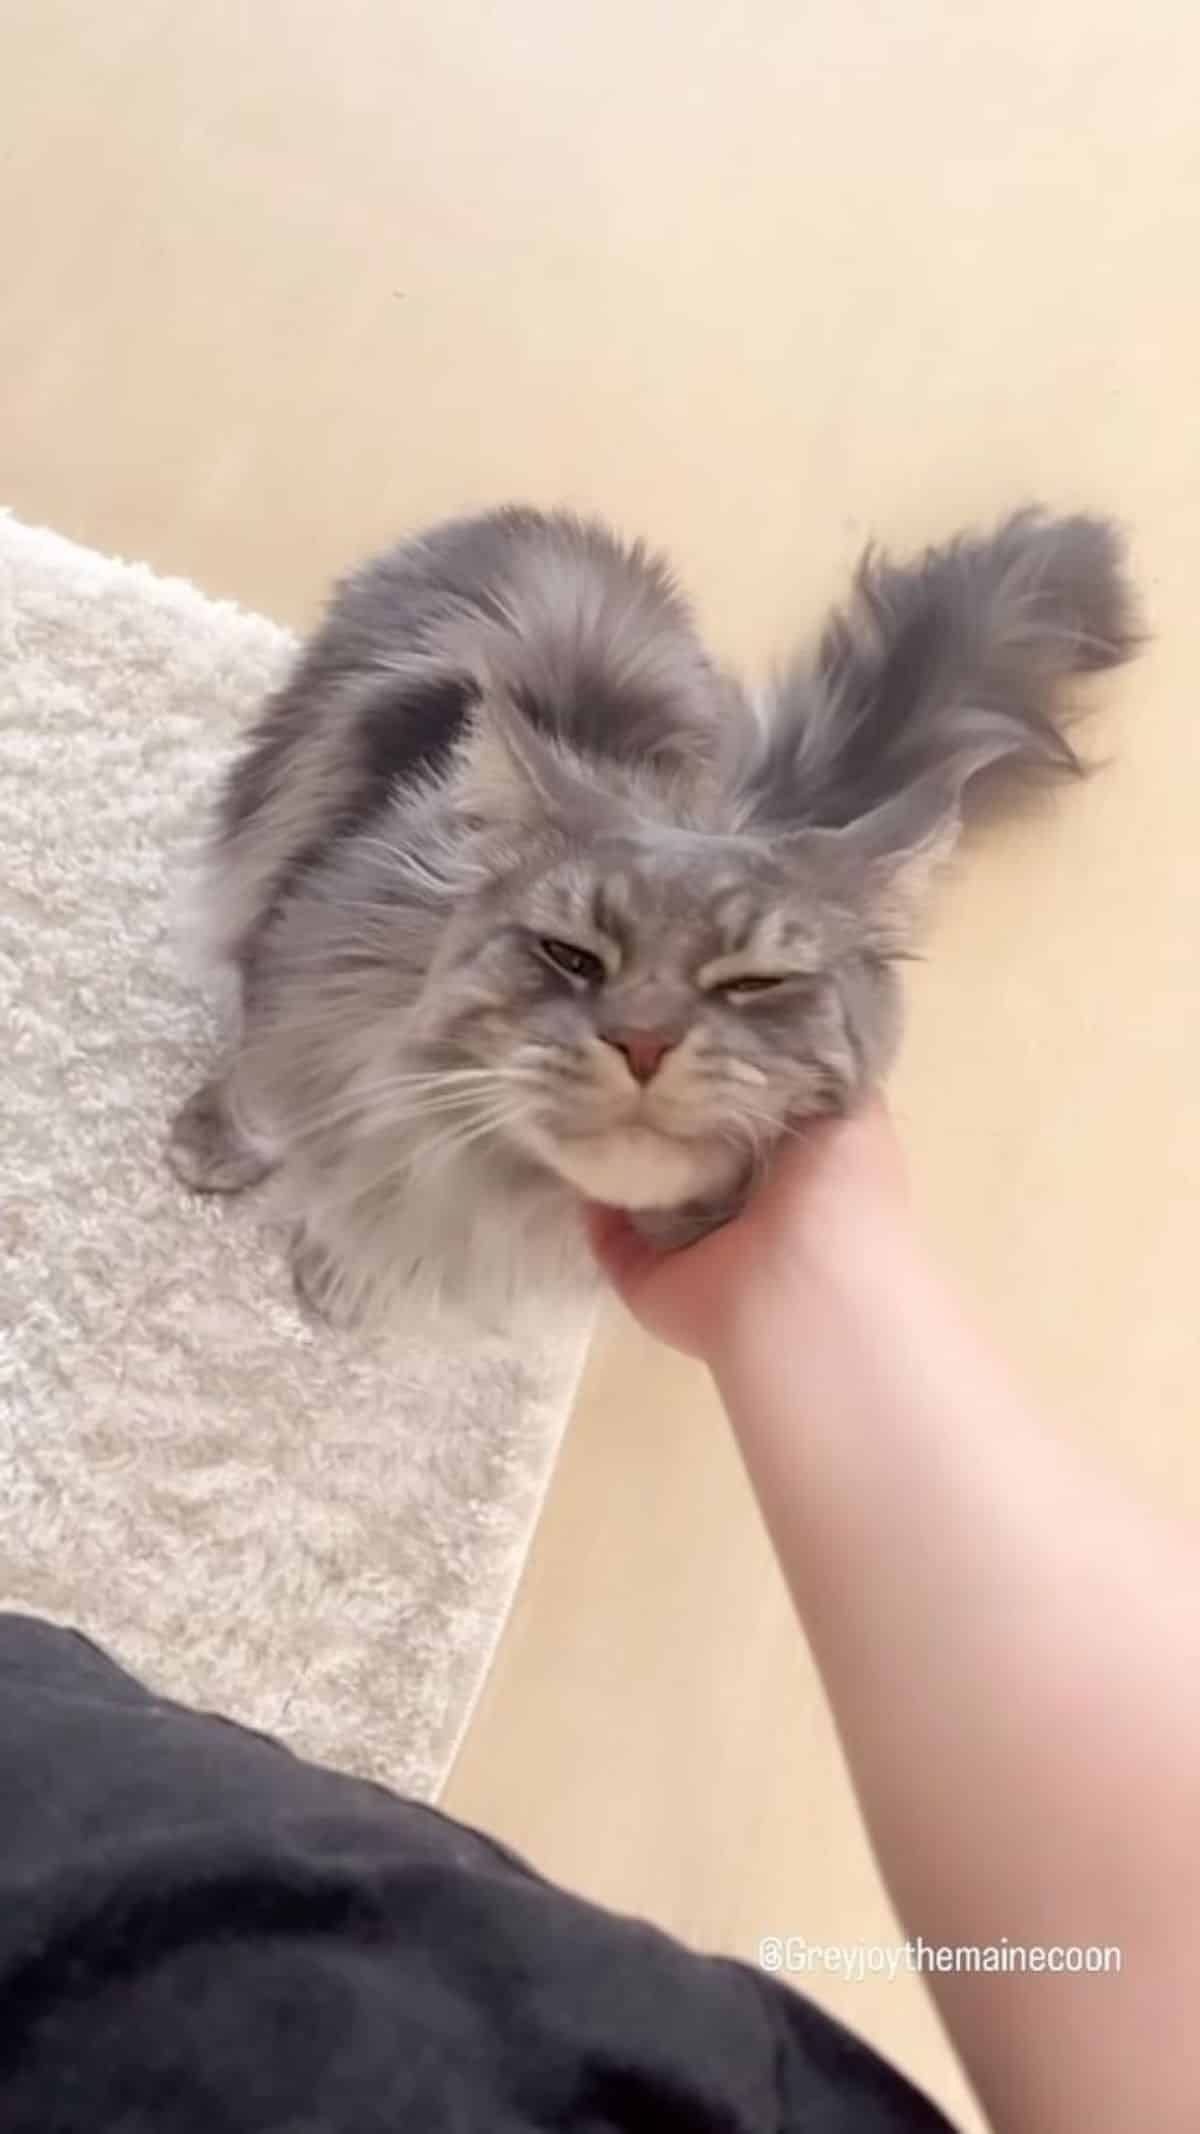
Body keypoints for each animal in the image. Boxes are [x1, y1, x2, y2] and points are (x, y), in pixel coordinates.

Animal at [168, 505, 1127, 1323]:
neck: (484, 1185)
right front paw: (218, 1151)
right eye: (572, 957)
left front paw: (346, 1278)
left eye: (751, 983)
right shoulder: (291, 972)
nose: (643, 1043)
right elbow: (263, 1103)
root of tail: (546, 518)